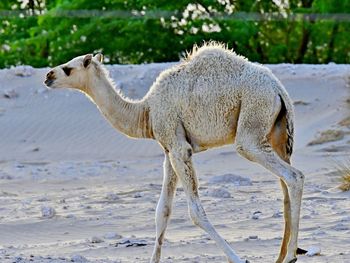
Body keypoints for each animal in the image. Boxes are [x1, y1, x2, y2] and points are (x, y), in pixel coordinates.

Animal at [45, 43, 304, 263]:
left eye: (68, 68)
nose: (48, 76)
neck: (146, 112)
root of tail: (279, 90)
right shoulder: (169, 150)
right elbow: (162, 211)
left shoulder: (179, 147)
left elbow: (195, 212)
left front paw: (238, 259)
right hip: (276, 133)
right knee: (285, 187)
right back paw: (282, 255)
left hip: (251, 125)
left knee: (293, 176)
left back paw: (291, 255)